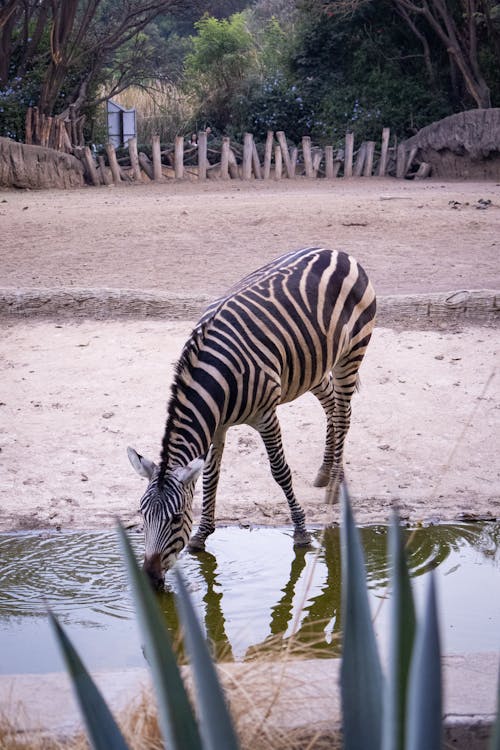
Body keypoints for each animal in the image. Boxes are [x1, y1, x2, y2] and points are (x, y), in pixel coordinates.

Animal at [128, 245, 376, 588]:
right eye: (142, 514)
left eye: (176, 519)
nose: (150, 580)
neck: (215, 383)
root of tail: (336, 251)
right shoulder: (216, 427)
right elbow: (211, 477)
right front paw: (202, 535)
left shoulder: (265, 415)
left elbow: (279, 471)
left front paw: (301, 532)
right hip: (312, 366)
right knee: (331, 403)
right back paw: (325, 471)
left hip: (352, 352)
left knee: (343, 412)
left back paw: (334, 485)